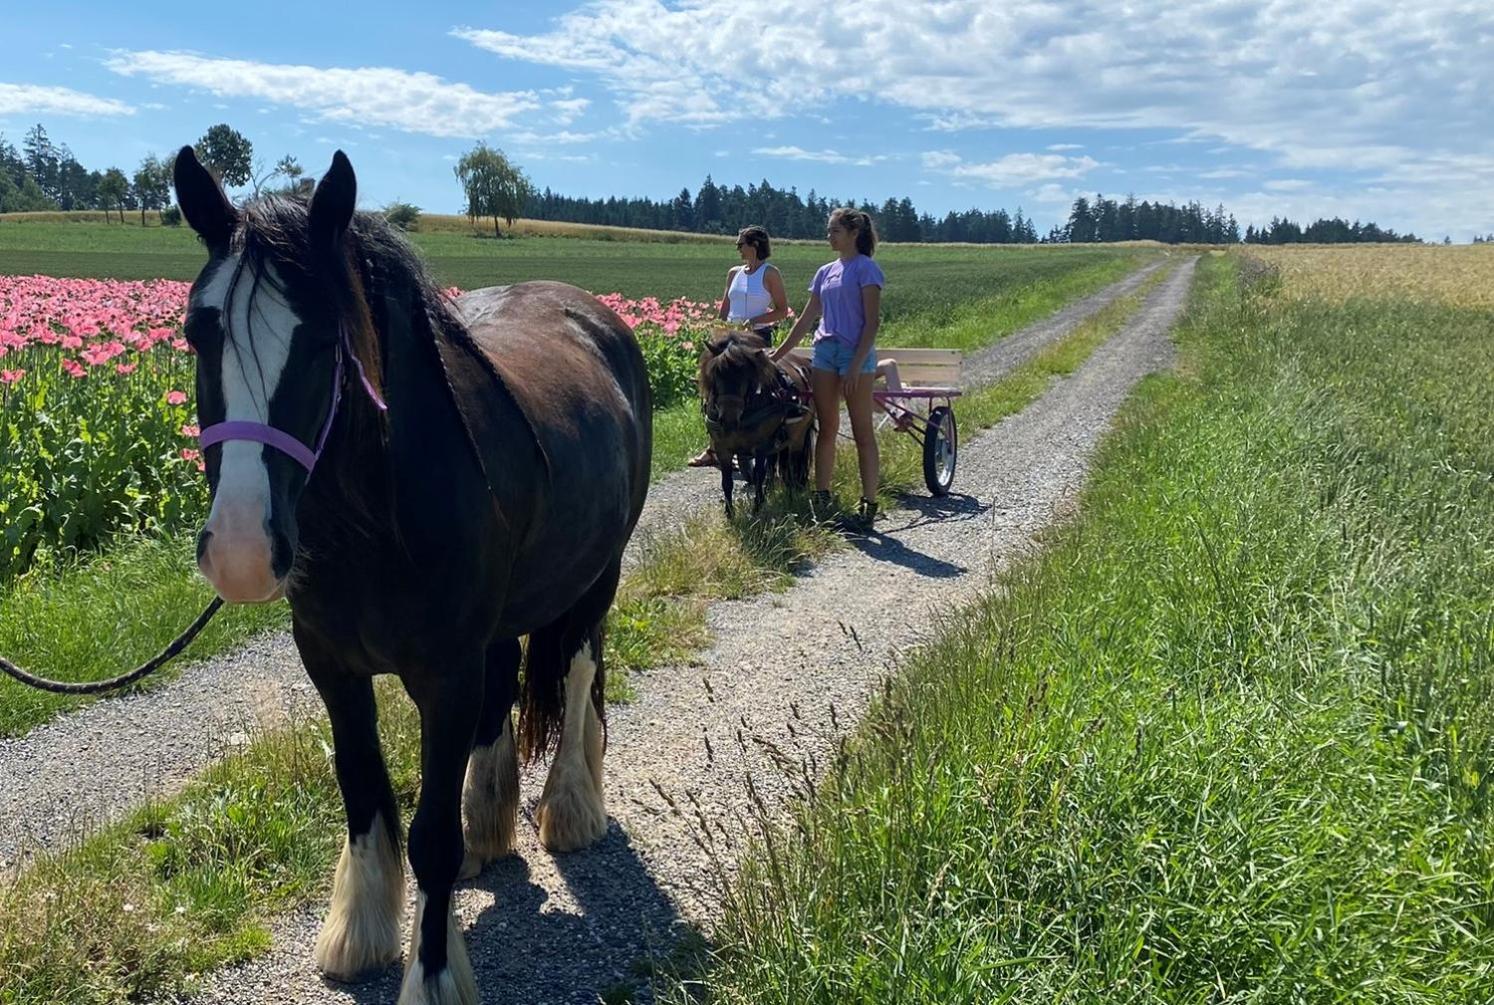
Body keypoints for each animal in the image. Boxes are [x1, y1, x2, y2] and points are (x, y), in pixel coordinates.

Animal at [173, 149, 648, 1003]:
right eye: (199, 331)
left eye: (324, 339)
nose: (241, 551)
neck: (378, 521)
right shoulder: (332, 667)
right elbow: (363, 788)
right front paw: (359, 930)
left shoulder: (443, 676)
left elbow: (428, 834)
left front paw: (430, 972)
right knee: (505, 680)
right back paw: (489, 822)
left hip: (599, 577)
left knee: (577, 672)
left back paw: (568, 807)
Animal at [699, 328, 818, 513]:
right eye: (716, 372)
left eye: (746, 375)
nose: (728, 420)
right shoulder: (722, 447)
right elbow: (727, 481)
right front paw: (730, 512)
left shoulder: (761, 445)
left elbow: (759, 474)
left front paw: (757, 506)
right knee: (774, 463)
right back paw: (771, 489)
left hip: (798, 436)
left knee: (792, 465)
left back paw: (792, 493)